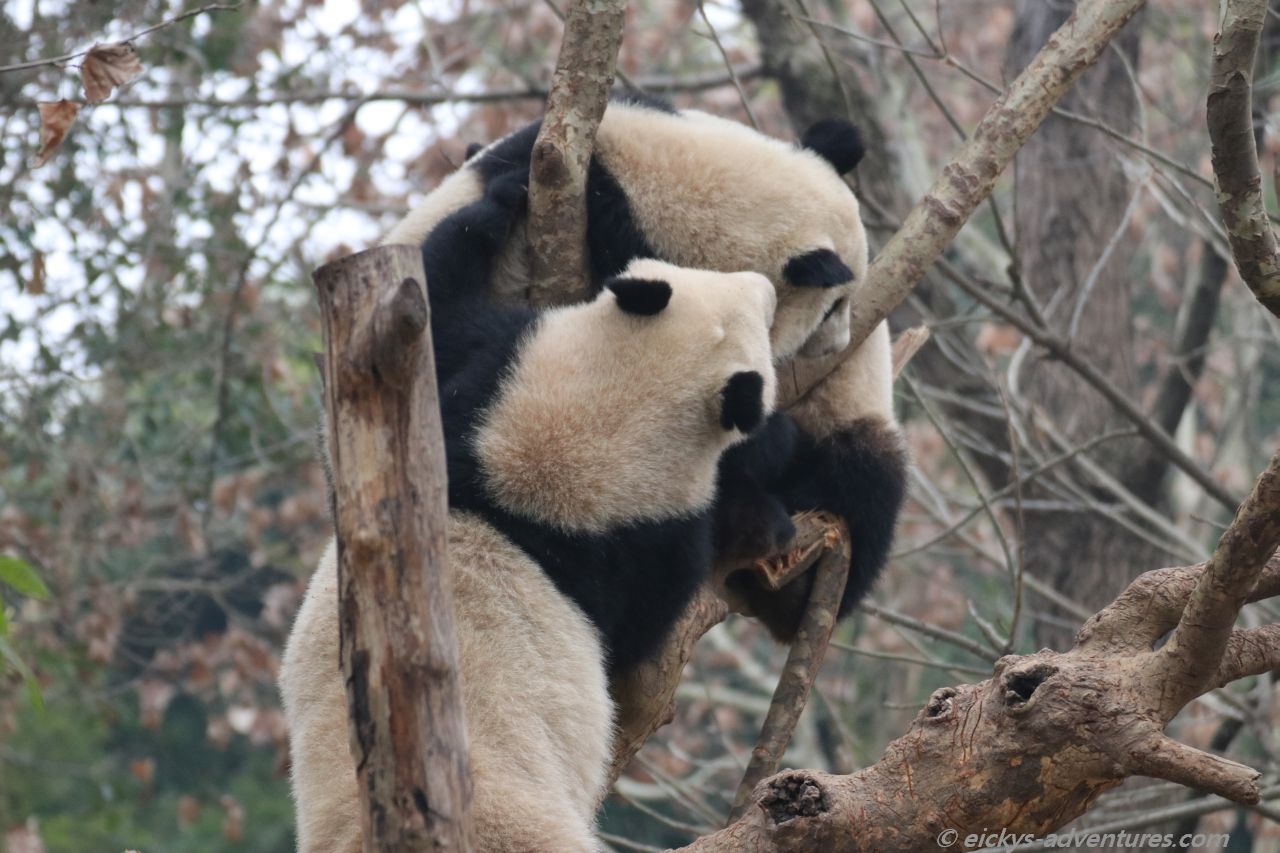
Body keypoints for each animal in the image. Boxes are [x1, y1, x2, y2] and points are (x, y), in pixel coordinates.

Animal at [280, 179, 779, 852]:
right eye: (755, 318)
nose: (766, 285)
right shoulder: (643, 539)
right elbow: (649, 621)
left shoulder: (470, 398)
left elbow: (423, 329)